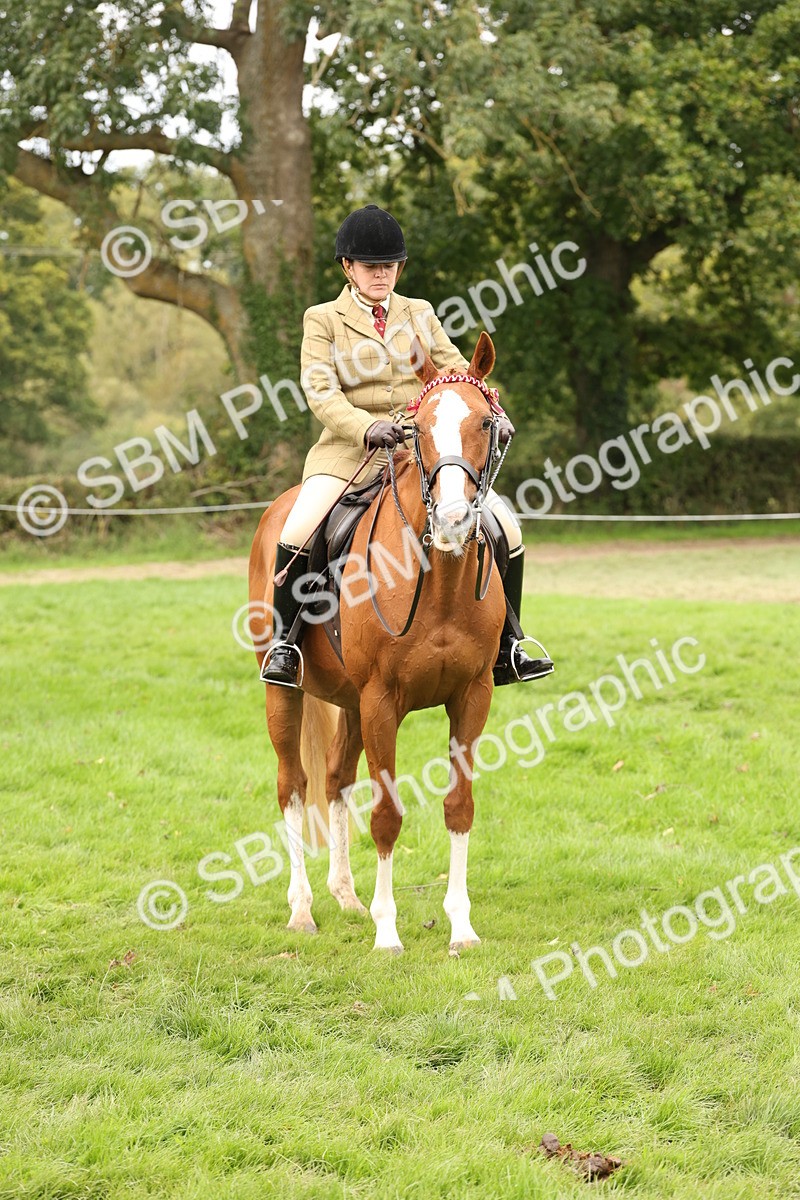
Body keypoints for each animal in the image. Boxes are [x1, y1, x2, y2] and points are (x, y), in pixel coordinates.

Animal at [248, 331, 508, 952]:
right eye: (419, 428)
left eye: (485, 423)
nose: (456, 521)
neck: (439, 578)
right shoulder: (382, 701)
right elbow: (386, 815)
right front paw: (388, 933)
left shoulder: (472, 695)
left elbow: (459, 807)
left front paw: (461, 927)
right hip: (287, 694)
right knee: (293, 786)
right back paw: (304, 910)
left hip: (347, 702)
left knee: (336, 782)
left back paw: (346, 897)